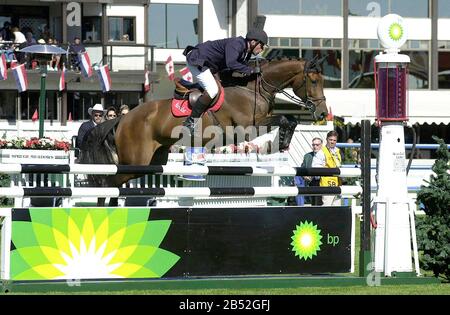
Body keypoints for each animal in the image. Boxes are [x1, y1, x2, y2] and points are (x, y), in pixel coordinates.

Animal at [79, 55, 328, 206]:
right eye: (314, 81)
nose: (323, 114)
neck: (252, 89)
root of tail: (123, 118)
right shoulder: (247, 126)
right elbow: (285, 118)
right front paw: (279, 142)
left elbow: (290, 119)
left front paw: (283, 141)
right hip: (136, 160)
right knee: (109, 182)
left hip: (152, 160)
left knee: (116, 183)